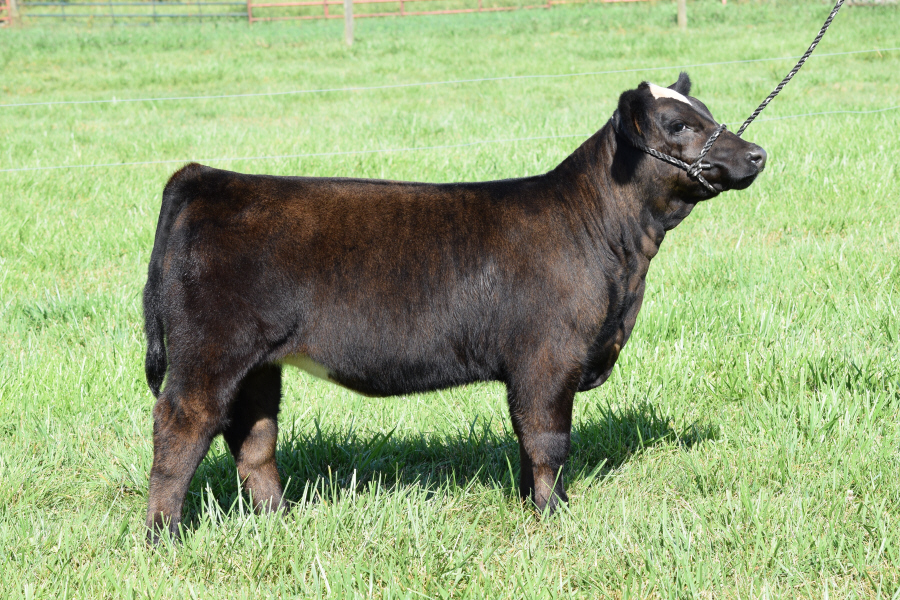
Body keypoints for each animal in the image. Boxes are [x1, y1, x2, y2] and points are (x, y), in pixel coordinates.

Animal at [142, 72, 766, 541]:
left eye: (707, 112)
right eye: (679, 124)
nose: (757, 153)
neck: (618, 252)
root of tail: (205, 177)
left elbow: (528, 440)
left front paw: (536, 504)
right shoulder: (548, 358)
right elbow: (548, 440)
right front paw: (554, 516)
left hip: (258, 363)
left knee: (254, 438)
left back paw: (280, 520)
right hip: (210, 352)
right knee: (181, 425)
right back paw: (163, 535)